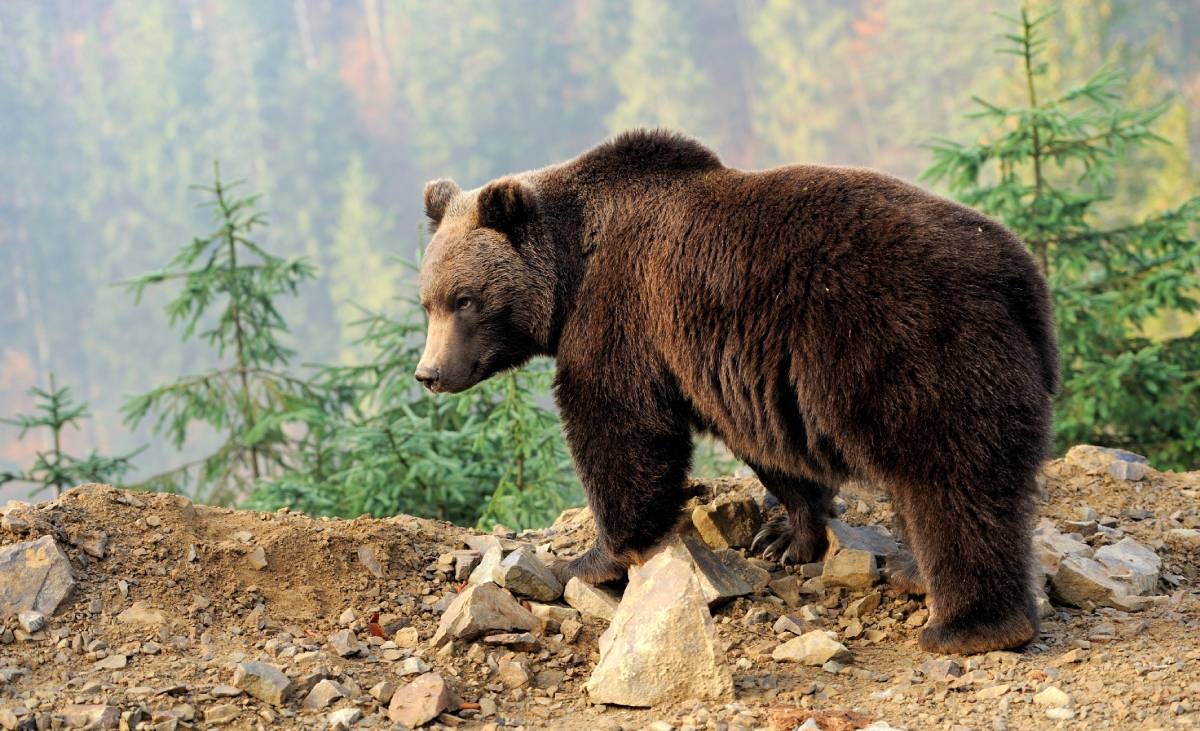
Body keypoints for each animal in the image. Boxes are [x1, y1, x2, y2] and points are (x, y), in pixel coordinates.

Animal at [417, 128, 1056, 652]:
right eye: (428, 301)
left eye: (465, 299)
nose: (430, 373)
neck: (573, 269)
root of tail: (1019, 276)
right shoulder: (734, 367)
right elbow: (767, 448)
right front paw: (785, 536)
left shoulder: (623, 313)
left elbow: (619, 426)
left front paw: (589, 560)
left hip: (910, 348)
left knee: (951, 482)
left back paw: (969, 624)